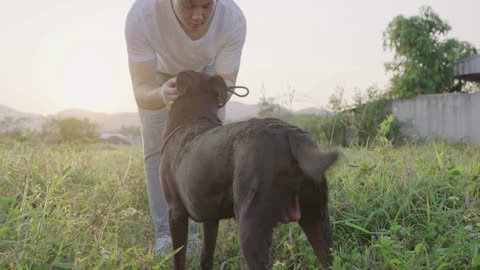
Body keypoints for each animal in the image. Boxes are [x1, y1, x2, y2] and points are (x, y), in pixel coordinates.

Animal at [161, 70, 338, 268]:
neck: (194, 118)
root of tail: (290, 134)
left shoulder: (175, 212)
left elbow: (178, 258)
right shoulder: (211, 219)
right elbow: (206, 255)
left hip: (250, 227)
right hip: (317, 219)